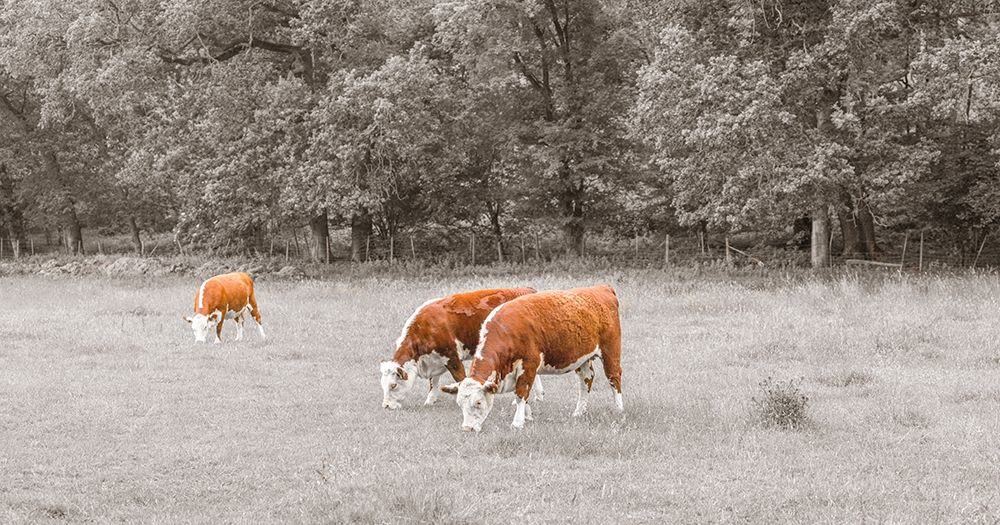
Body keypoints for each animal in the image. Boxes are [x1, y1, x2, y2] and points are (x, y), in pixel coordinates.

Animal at [380, 287, 537, 409]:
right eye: (383, 385)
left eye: (393, 385)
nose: (386, 406)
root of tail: (528, 290)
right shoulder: (434, 359)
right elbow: (433, 381)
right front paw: (430, 400)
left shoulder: (452, 357)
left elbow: (460, 378)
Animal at [441, 285, 622, 432]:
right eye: (459, 404)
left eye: (478, 402)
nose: (467, 428)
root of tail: (602, 288)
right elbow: (523, 396)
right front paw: (527, 417)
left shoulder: (528, 365)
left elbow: (521, 392)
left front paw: (517, 422)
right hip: (584, 358)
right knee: (586, 381)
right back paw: (579, 412)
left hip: (610, 350)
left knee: (614, 378)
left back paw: (619, 410)